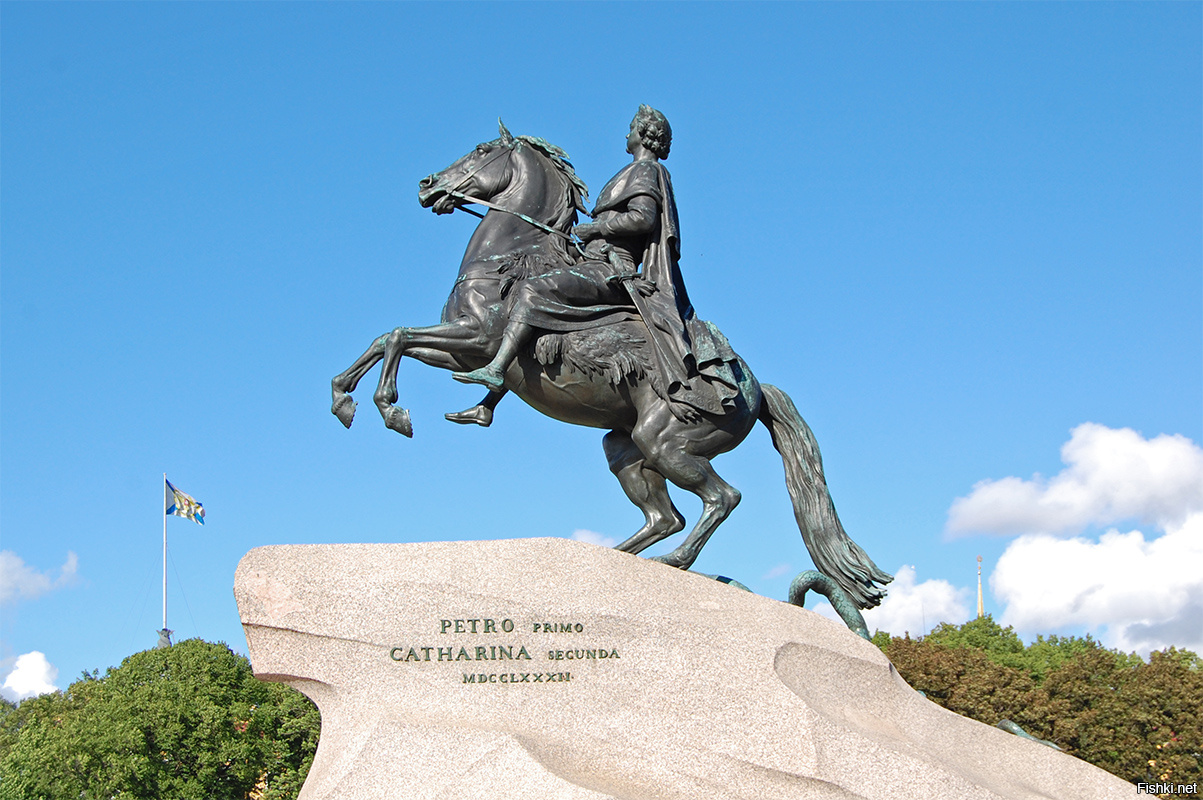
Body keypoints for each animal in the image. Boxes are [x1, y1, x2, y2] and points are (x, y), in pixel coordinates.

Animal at [329, 121, 895, 608]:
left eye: (483, 149)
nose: (427, 186)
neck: (510, 258)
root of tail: (755, 389)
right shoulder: (458, 346)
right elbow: (386, 340)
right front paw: (344, 399)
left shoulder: (479, 337)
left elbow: (400, 336)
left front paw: (390, 409)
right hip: (626, 446)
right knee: (664, 516)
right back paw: (613, 559)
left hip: (666, 443)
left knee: (722, 498)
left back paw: (672, 561)